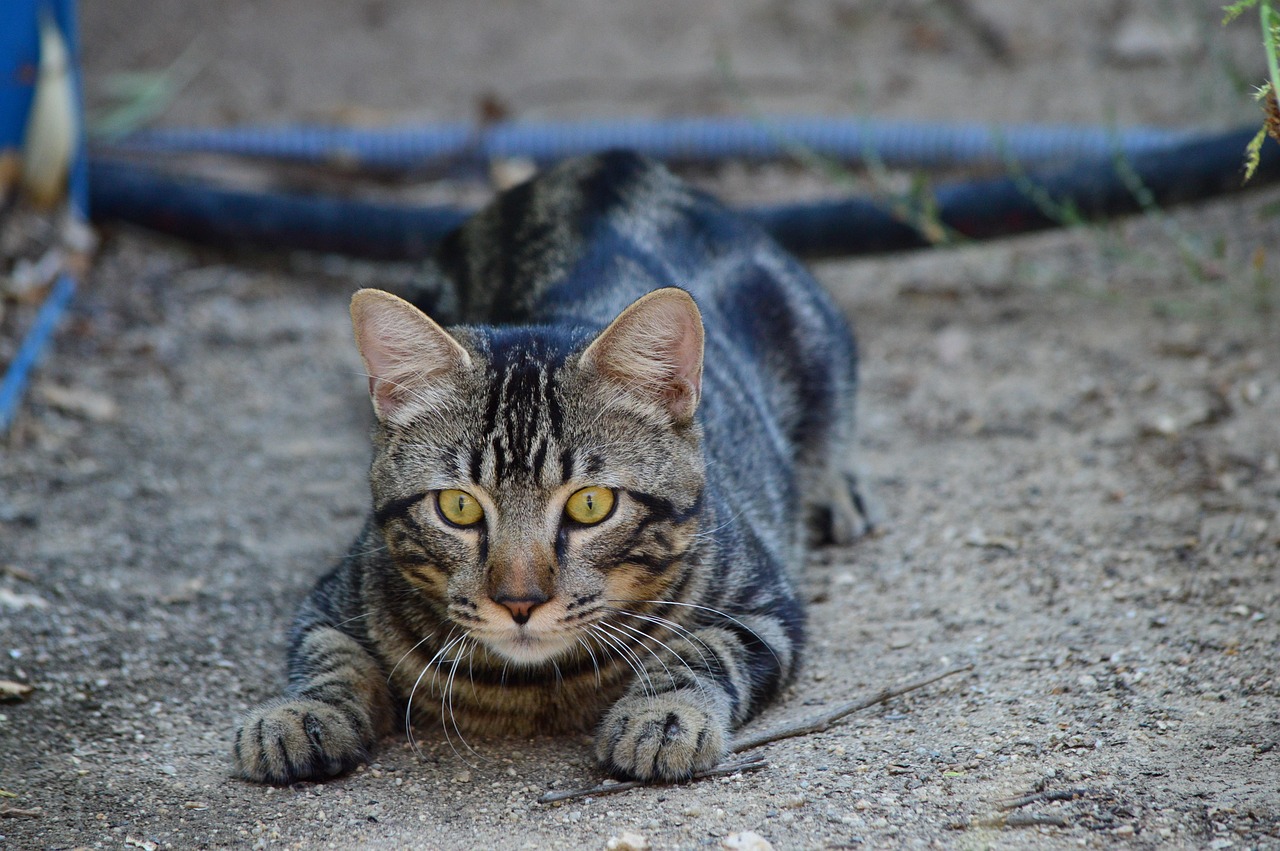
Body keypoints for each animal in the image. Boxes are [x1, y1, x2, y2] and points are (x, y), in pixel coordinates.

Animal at [232, 151, 870, 783]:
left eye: (591, 504)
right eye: (457, 506)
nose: (520, 602)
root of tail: (605, 162)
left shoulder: (763, 608)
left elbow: (701, 652)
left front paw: (662, 715)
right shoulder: (333, 600)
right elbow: (331, 657)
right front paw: (298, 714)